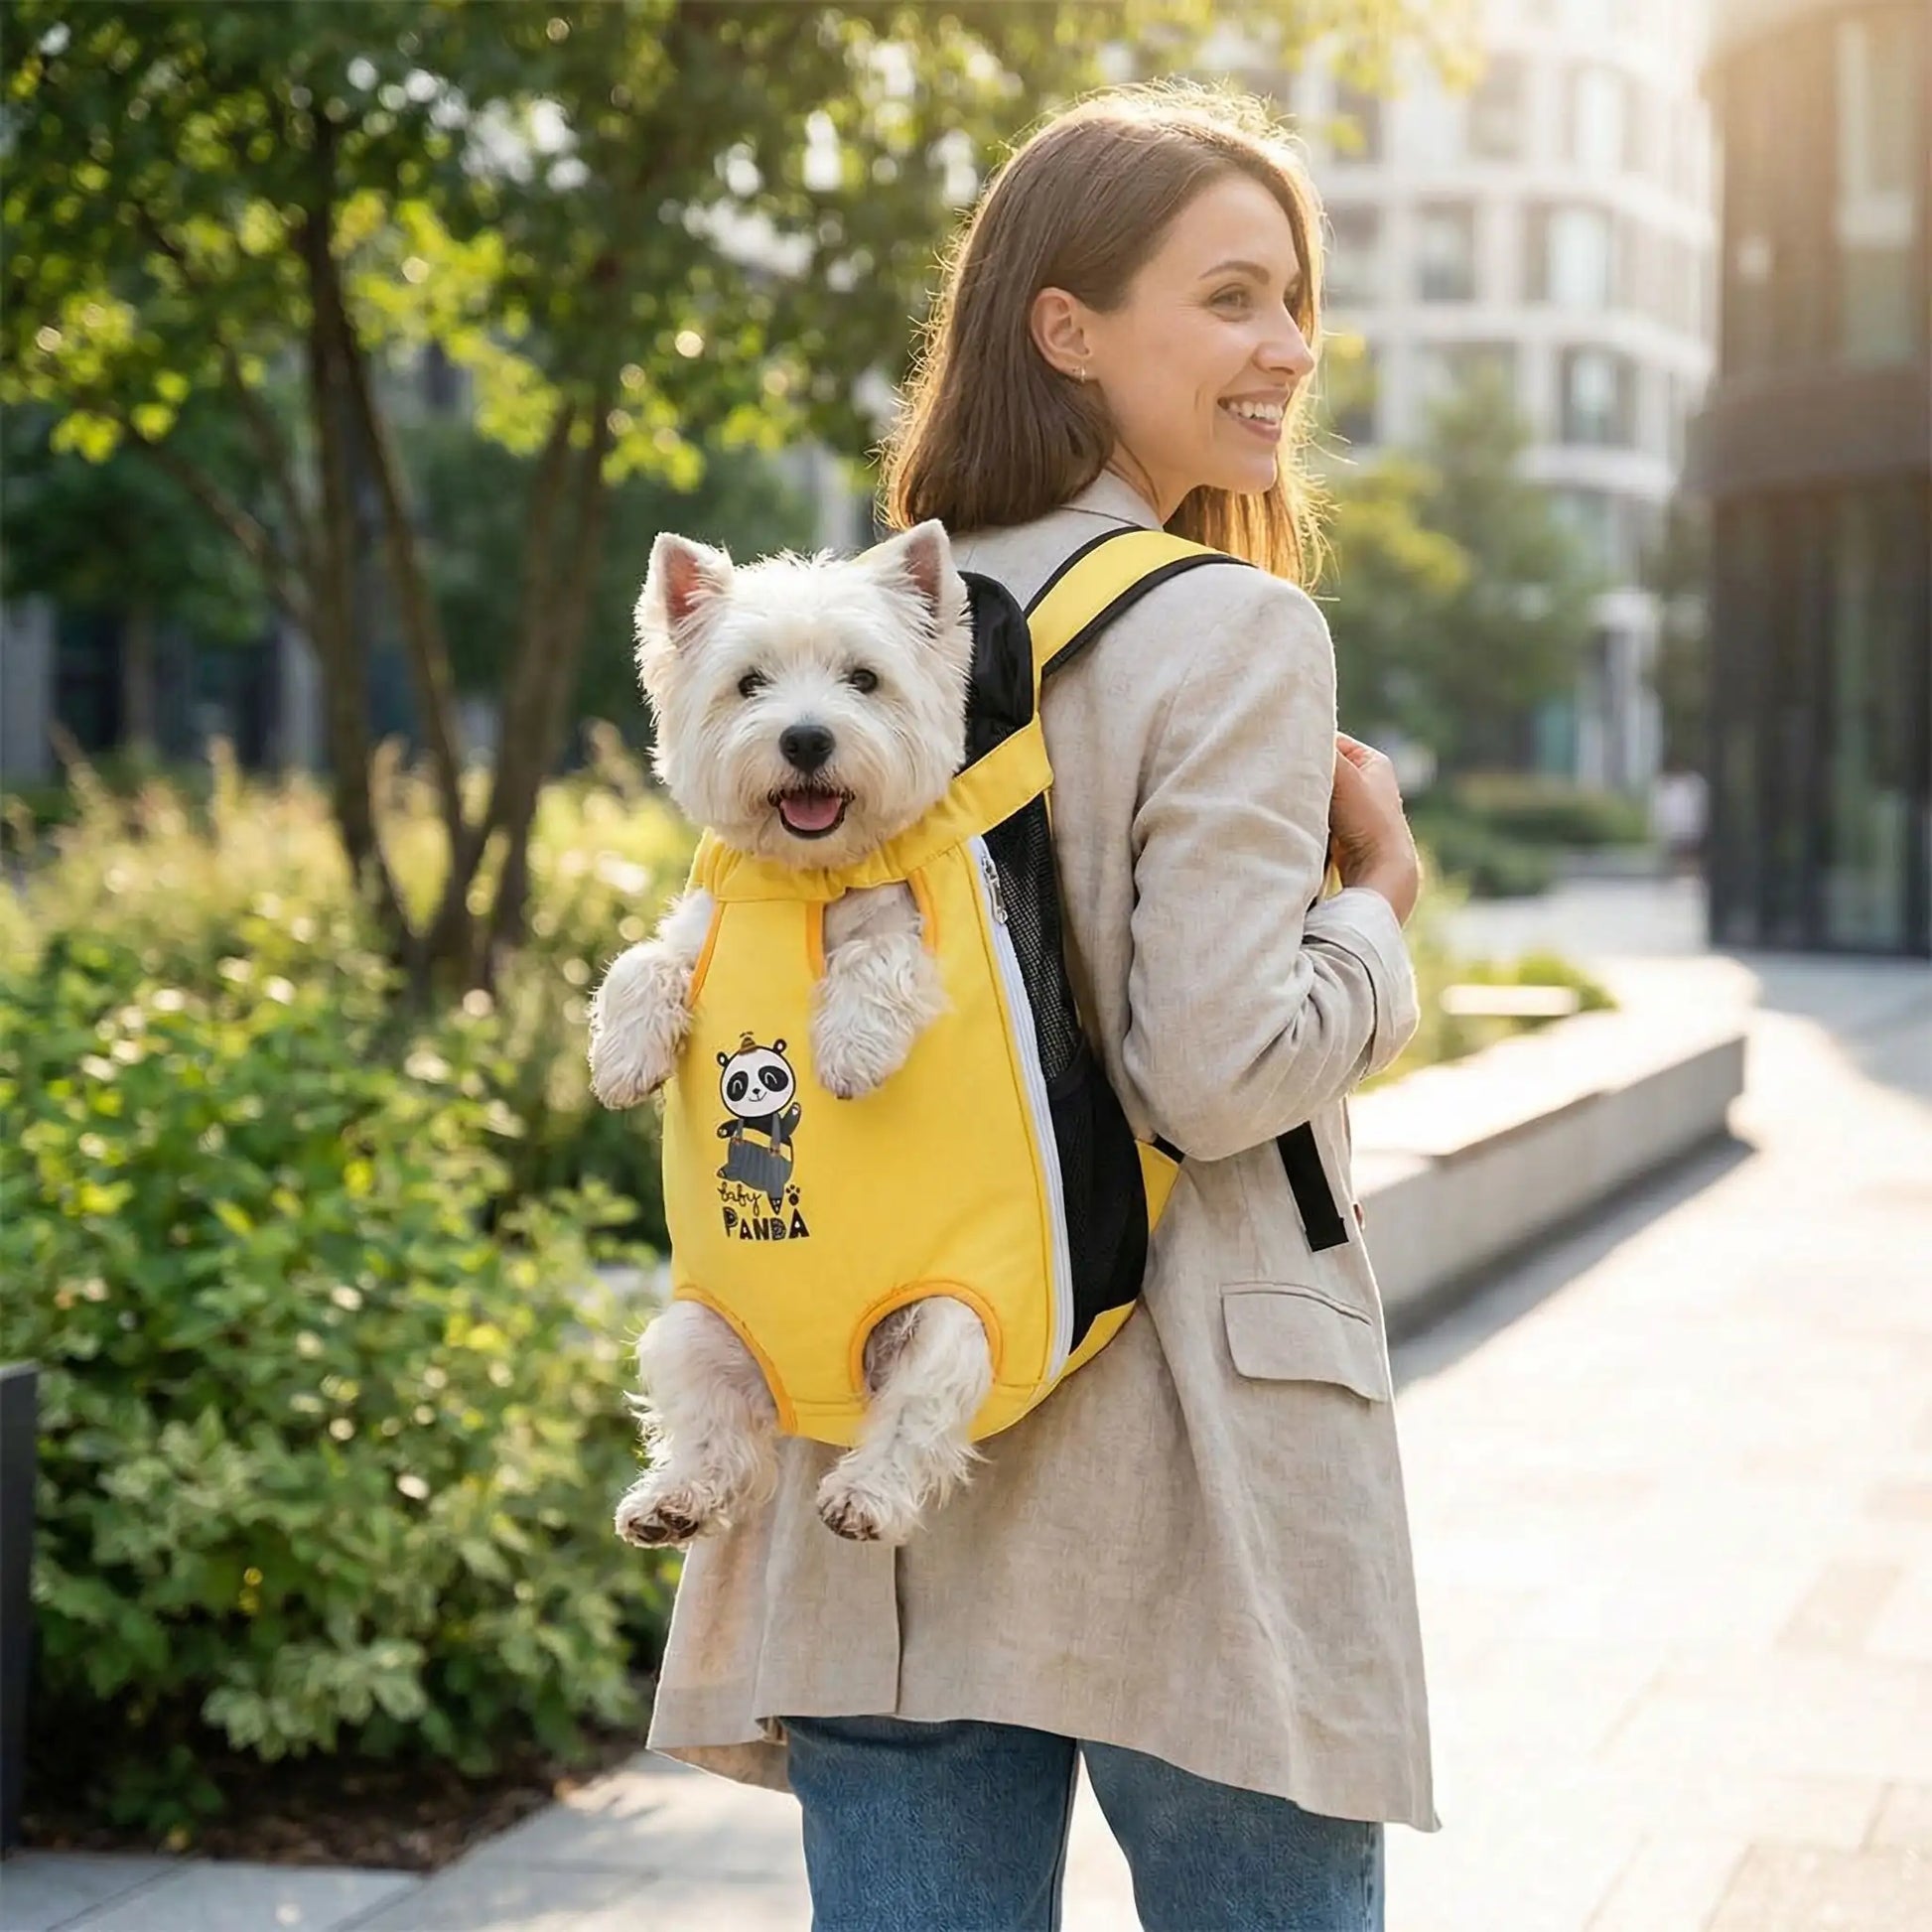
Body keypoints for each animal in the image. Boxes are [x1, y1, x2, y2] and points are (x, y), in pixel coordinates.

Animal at [715, 1036, 803, 1208]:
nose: (756, 1091)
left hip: (775, 1177)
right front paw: (722, 1130)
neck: (760, 1116)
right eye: (737, 1085)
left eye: (770, 1077)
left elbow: (786, 1127)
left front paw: (795, 1109)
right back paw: (725, 1172)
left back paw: (776, 1202)